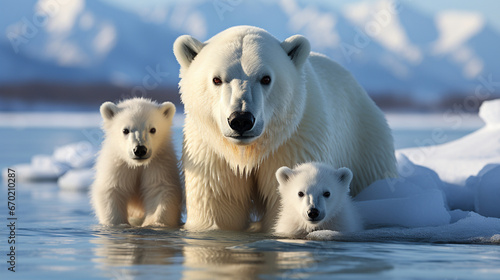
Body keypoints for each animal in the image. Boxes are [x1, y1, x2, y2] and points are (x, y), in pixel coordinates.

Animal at [91, 97, 183, 226]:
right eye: (125, 130)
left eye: (153, 129)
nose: (140, 150)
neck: (138, 165)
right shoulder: (119, 165)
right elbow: (112, 190)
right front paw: (118, 224)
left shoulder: (159, 163)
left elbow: (160, 189)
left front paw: (154, 224)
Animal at [174, 26, 396, 232]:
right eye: (217, 79)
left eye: (266, 78)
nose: (241, 120)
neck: (249, 152)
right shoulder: (211, 155)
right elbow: (217, 207)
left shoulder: (294, 144)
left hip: (365, 144)